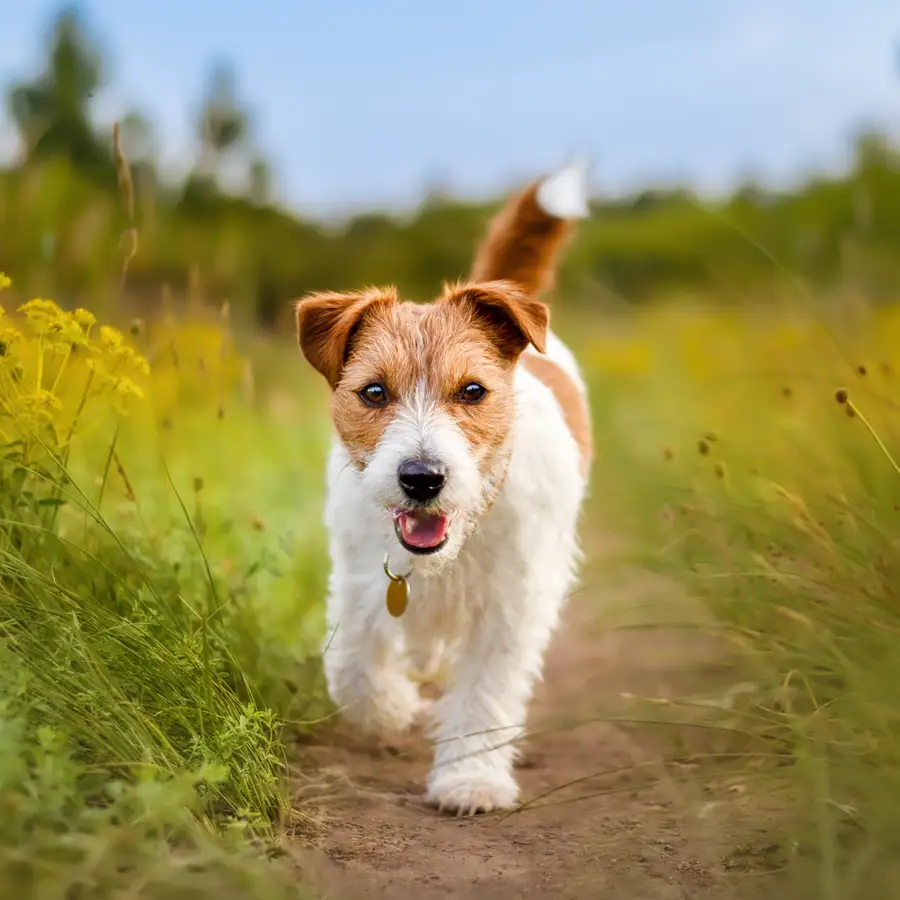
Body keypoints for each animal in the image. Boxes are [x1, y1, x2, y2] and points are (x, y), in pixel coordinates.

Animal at [294, 160, 592, 816]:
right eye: (374, 391)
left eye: (473, 390)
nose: (422, 478)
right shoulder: (359, 583)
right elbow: (352, 667)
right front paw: (393, 709)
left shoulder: (513, 605)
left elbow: (485, 694)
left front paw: (470, 779)